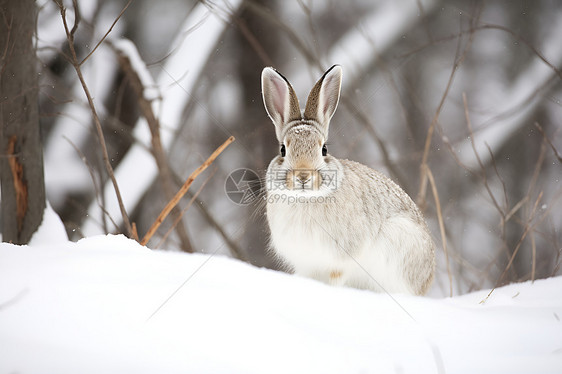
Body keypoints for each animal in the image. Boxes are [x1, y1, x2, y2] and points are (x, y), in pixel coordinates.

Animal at [260, 65, 436, 296]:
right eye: (283, 150)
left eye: (324, 149)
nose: (303, 176)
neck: (306, 199)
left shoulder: (340, 261)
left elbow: (335, 277)